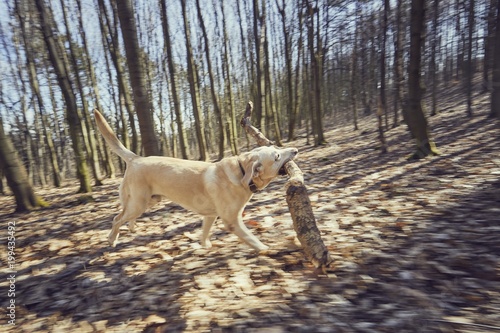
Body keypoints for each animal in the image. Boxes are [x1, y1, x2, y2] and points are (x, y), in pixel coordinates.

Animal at [93, 109, 296, 249]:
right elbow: (251, 238)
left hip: (148, 201)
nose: (295, 151)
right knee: (117, 219)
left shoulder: (210, 216)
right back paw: (112, 239)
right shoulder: (232, 221)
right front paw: (265, 249)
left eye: (276, 147)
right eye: (277, 156)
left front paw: (205, 246)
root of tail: (136, 158)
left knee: (125, 217)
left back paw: (131, 228)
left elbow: (205, 233)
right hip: (138, 203)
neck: (241, 172)